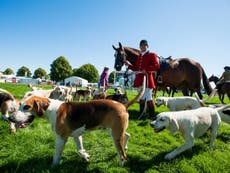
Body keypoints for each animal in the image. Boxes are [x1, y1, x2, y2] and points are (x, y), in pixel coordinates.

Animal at [9, 77, 146, 166]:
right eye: (20, 105)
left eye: (26, 107)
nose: (10, 118)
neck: (51, 109)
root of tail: (122, 105)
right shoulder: (77, 136)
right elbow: (80, 150)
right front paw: (85, 157)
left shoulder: (61, 138)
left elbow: (56, 155)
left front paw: (54, 166)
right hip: (114, 131)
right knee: (127, 135)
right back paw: (126, 146)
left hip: (115, 135)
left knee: (122, 155)